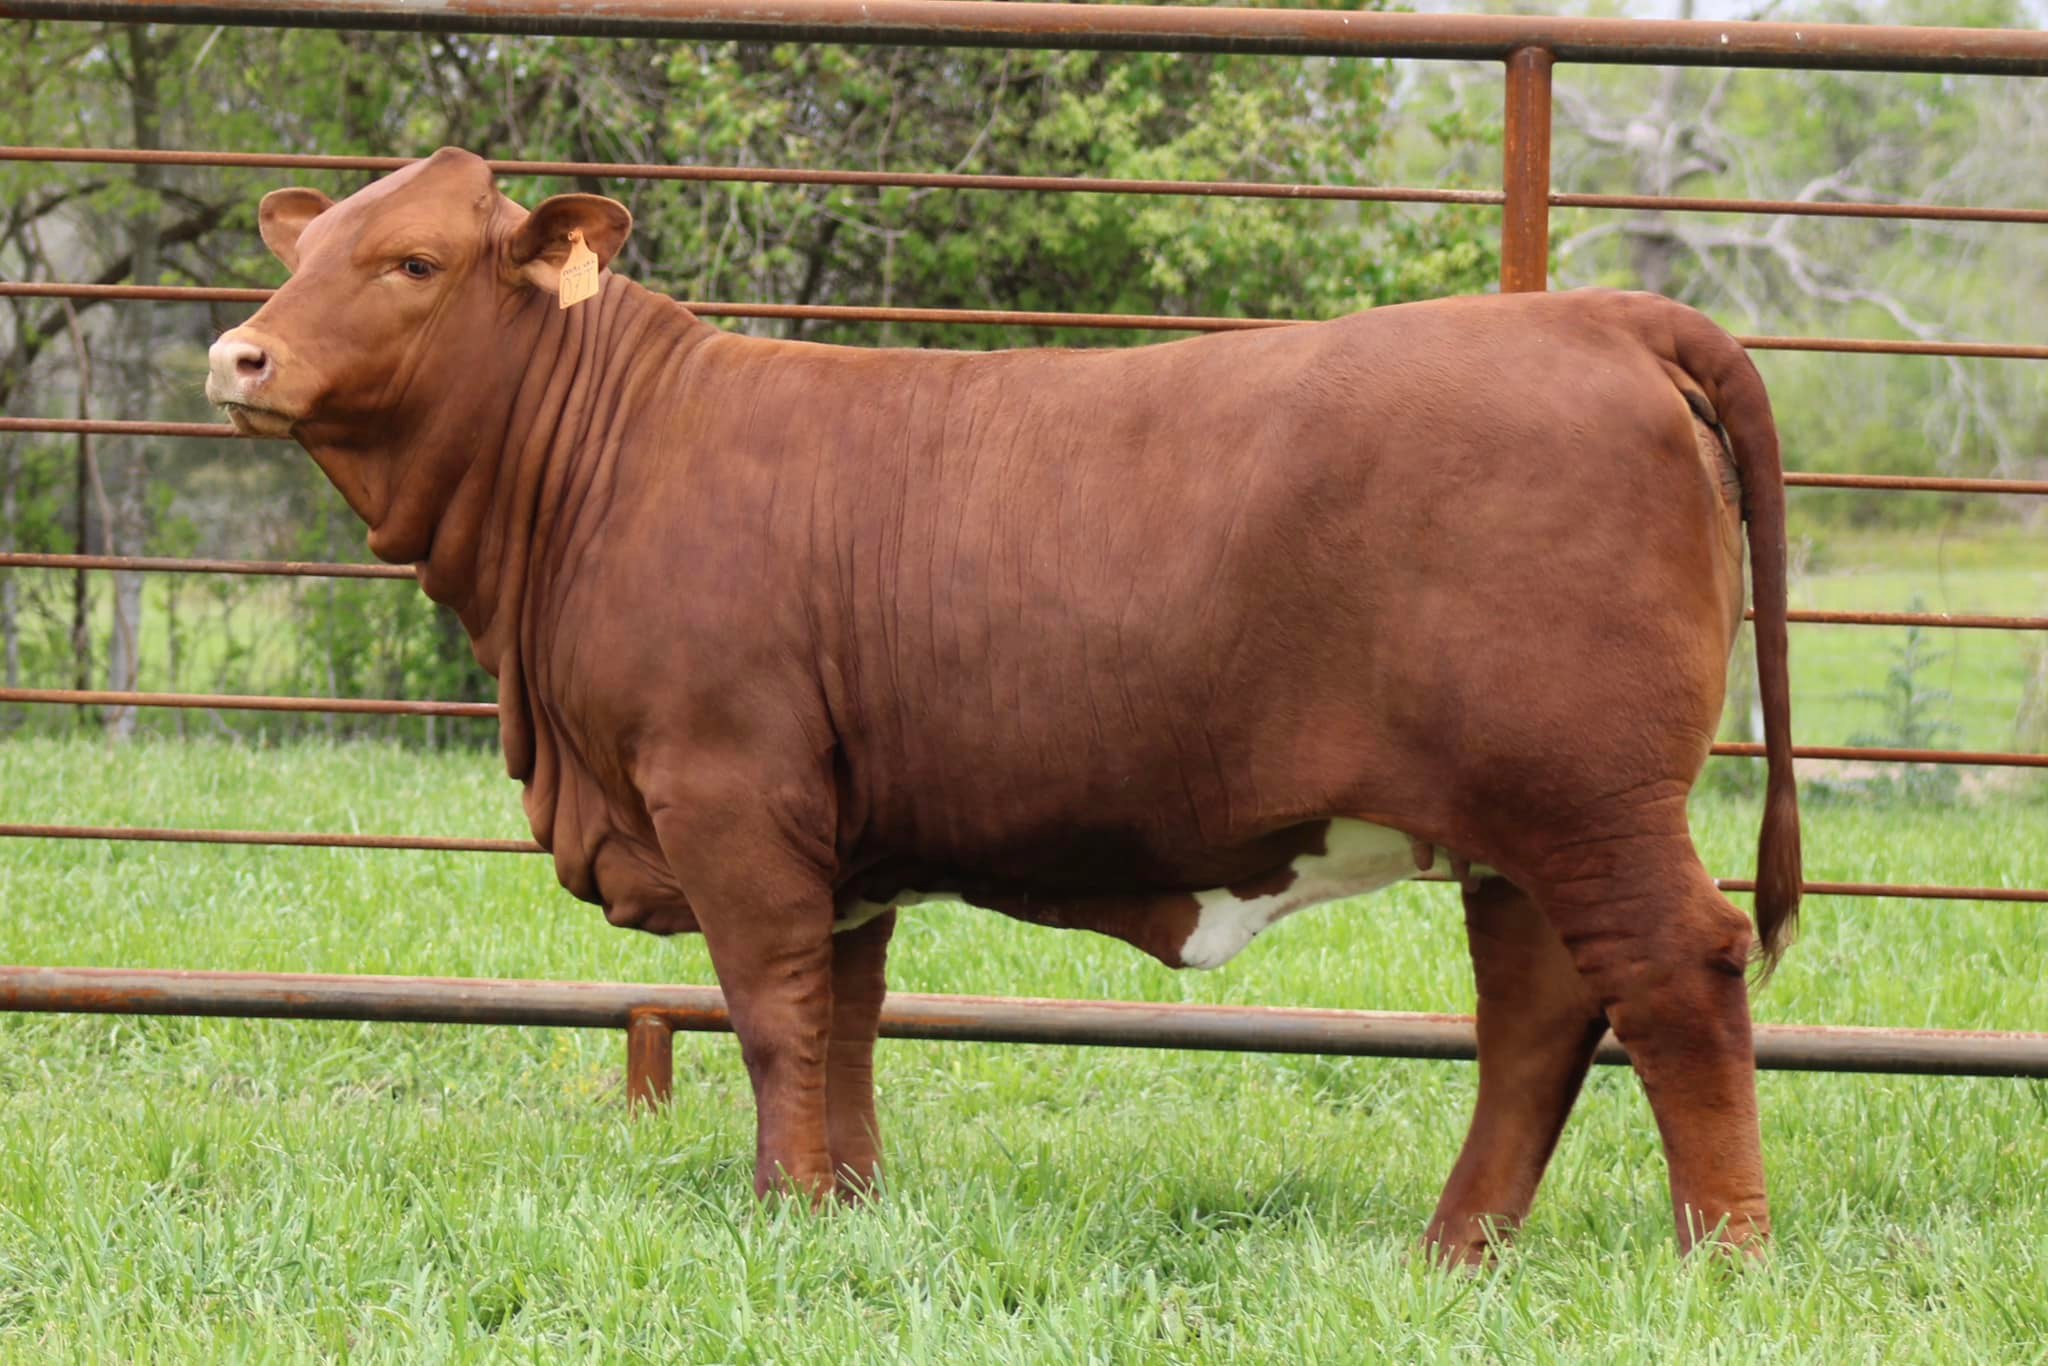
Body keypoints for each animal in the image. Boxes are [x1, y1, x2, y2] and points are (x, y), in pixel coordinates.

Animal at [205, 148, 1800, 1262]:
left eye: (412, 260)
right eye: (307, 251)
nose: (239, 353)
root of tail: (1599, 317)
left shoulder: (728, 790)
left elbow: (770, 1012)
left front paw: (779, 1205)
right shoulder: (838, 835)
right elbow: (844, 1015)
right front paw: (842, 1205)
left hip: (1585, 795)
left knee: (1673, 971)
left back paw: (1721, 1257)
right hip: (1516, 821)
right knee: (1537, 1010)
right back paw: (1453, 1251)